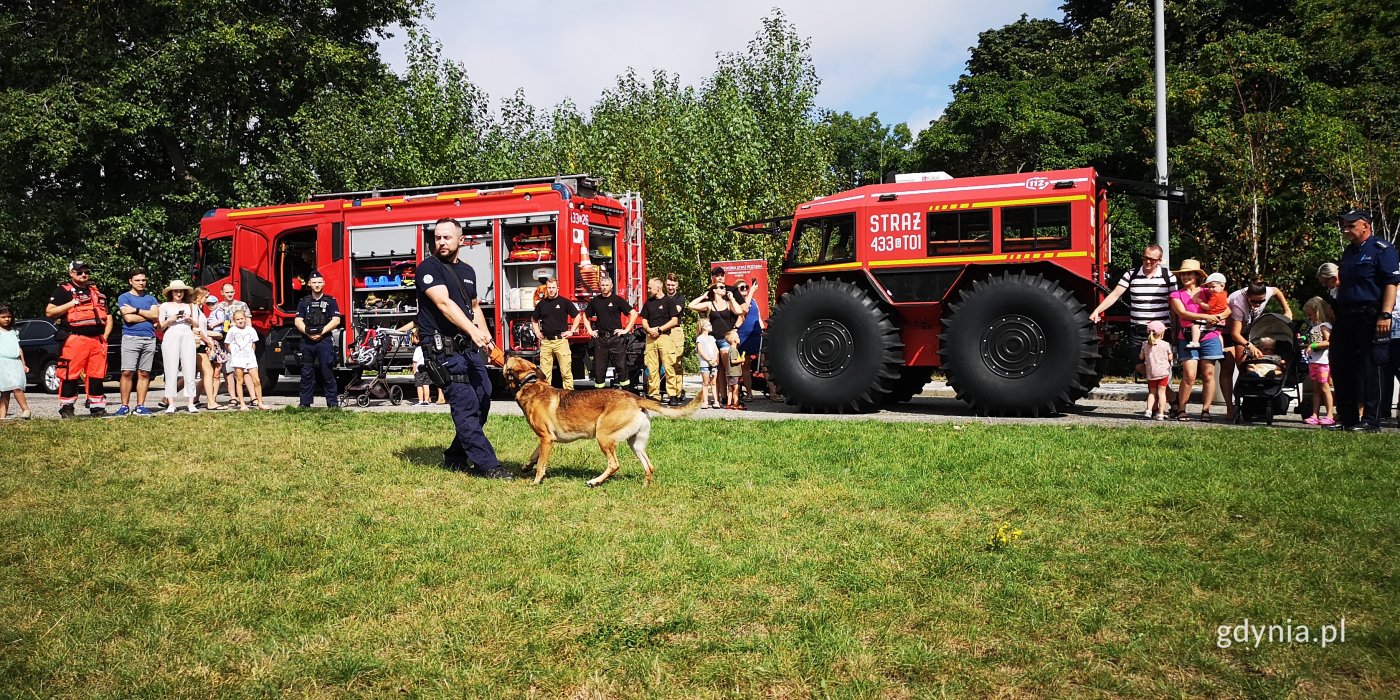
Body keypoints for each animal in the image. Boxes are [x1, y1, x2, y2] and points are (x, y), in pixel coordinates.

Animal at [501, 355, 700, 487]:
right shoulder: (547, 439)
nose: (507, 351)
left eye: (508, 362)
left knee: (614, 465)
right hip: (635, 443)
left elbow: (541, 465)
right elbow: (534, 455)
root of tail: (635, 398)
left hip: (603, 436)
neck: (529, 384)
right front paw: (526, 466)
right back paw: (644, 486)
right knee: (649, 466)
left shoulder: (546, 439)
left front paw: (535, 482)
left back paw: (594, 481)